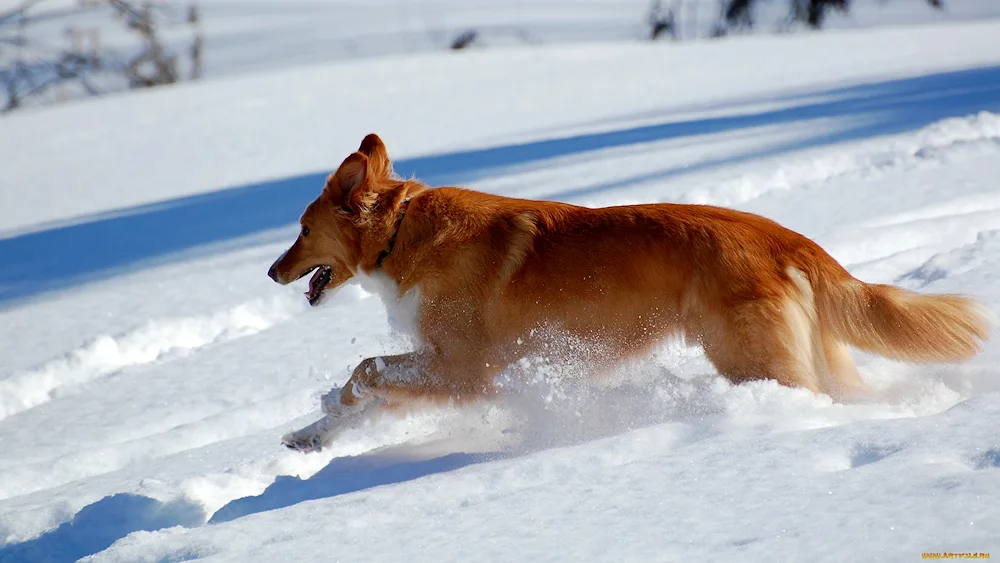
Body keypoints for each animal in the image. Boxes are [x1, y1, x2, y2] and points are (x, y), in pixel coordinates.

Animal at [270, 133, 996, 454]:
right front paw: (312, 434)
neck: (402, 231)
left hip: (751, 357)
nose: (272, 272)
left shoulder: (464, 369)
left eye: (301, 230)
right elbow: (358, 391)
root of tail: (785, 237)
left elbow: (363, 371)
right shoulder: (442, 367)